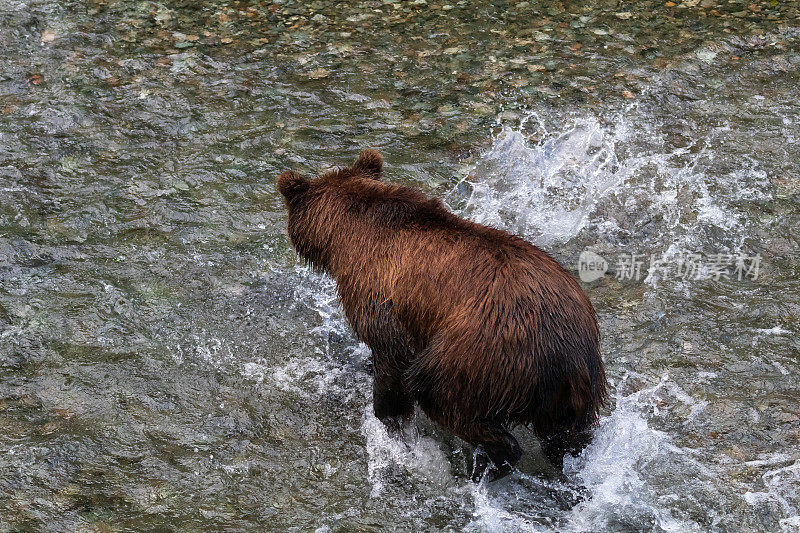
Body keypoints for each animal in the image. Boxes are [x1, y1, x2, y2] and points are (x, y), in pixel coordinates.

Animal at [276, 148, 608, 480]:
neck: (349, 235)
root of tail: (569, 357)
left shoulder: (377, 290)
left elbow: (392, 355)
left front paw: (389, 421)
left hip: (482, 352)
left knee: (437, 392)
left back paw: (487, 465)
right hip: (572, 390)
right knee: (565, 440)